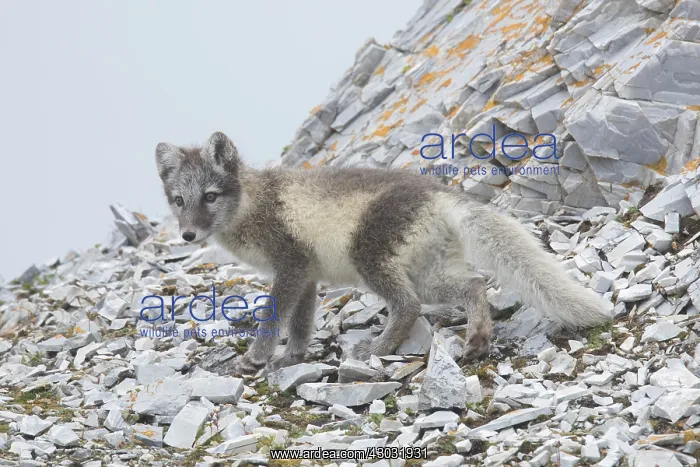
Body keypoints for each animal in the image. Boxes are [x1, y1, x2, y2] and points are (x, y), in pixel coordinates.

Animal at [155, 131, 613, 374]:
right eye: (178, 200)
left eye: (210, 196)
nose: (188, 235)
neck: (252, 204)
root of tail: (438, 194)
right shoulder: (308, 276)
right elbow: (300, 323)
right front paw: (293, 358)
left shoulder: (291, 265)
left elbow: (274, 315)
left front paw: (255, 359)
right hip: (428, 271)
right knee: (474, 283)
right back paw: (478, 340)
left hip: (371, 260)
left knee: (408, 305)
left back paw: (377, 350)